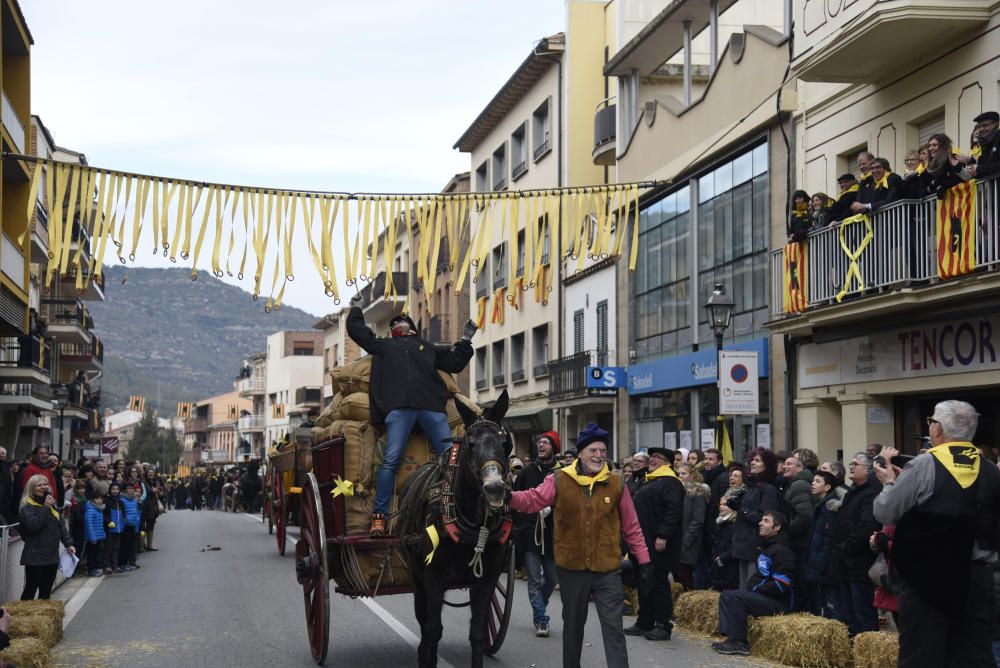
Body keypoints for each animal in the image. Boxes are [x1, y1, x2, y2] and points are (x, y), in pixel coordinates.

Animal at [396, 388, 512, 664]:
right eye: (470, 444)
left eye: (505, 444)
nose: (494, 488)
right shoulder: (433, 580)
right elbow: (432, 631)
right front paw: (427, 656)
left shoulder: (486, 580)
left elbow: (478, 634)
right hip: (417, 578)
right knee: (425, 625)